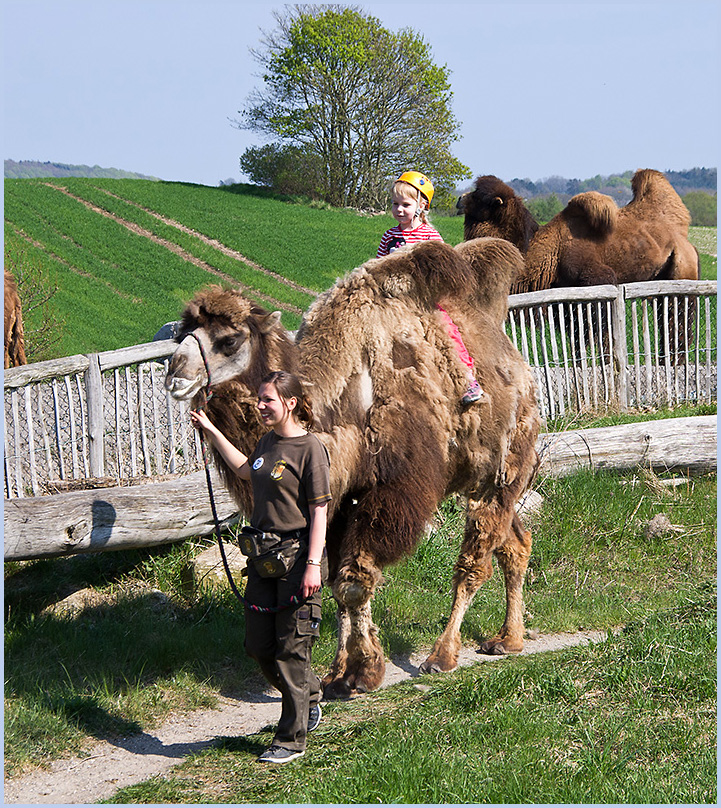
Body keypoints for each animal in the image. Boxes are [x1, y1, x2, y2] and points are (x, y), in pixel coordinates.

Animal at [166, 237, 540, 696]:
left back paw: (442, 655)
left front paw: (363, 673)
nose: (175, 374)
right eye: (182, 334)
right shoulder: (335, 498)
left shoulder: (392, 490)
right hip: (489, 477)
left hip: (504, 466)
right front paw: (340, 672)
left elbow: (352, 582)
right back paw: (508, 639)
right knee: (515, 542)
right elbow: (332, 581)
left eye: (230, 339)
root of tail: (521, 372)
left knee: (475, 560)